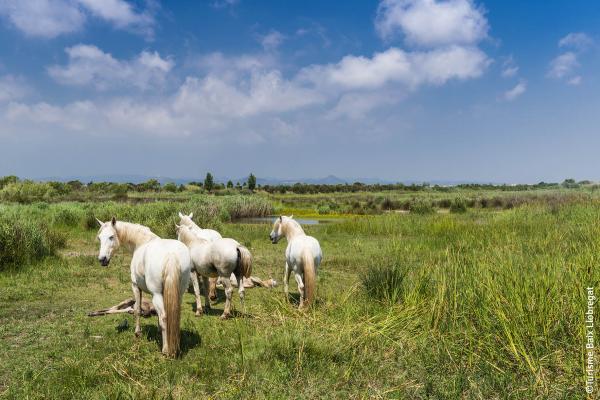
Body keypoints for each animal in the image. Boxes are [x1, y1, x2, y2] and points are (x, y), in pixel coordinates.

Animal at [96, 217, 191, 358]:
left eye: (111, 237)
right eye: (99, 238)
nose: (102, 259)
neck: (141, 242)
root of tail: (171, 255)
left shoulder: (135, 287)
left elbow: (137, 310)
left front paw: (137, 333)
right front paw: (159, 330)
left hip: (156, 294)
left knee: (164, 316)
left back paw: (166, 350)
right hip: (179, 293)